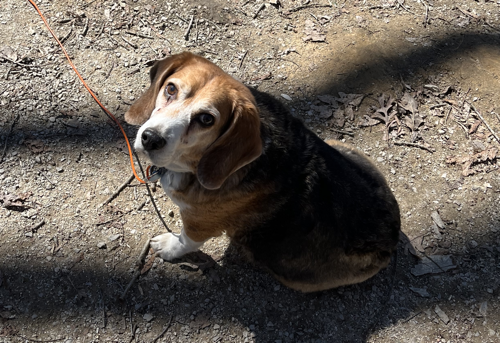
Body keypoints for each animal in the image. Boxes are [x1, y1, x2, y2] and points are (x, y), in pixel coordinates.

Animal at [126, 51, 402, 292]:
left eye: (206, 119)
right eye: (171, 89)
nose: (151, 138)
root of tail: (392, 240)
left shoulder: (200, 223)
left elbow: (185, 240)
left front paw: (168, 246)